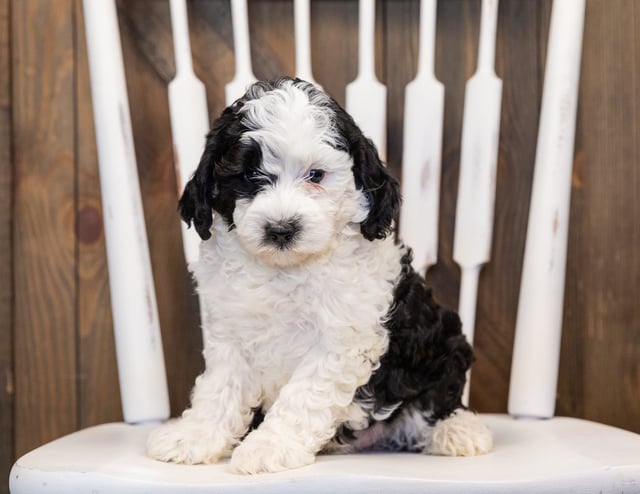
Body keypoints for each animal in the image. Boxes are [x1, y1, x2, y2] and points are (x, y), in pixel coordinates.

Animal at [148, 77, 492, 474]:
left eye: (316, 175)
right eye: (248, 174)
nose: (281, 229)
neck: (285, 270)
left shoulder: (340, 340)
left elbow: (302, 396)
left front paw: (268, 446)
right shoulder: (231, 334)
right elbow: (219, 389)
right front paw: (194, 436)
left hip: (440, 349)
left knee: (440, 398)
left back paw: (458, 432)